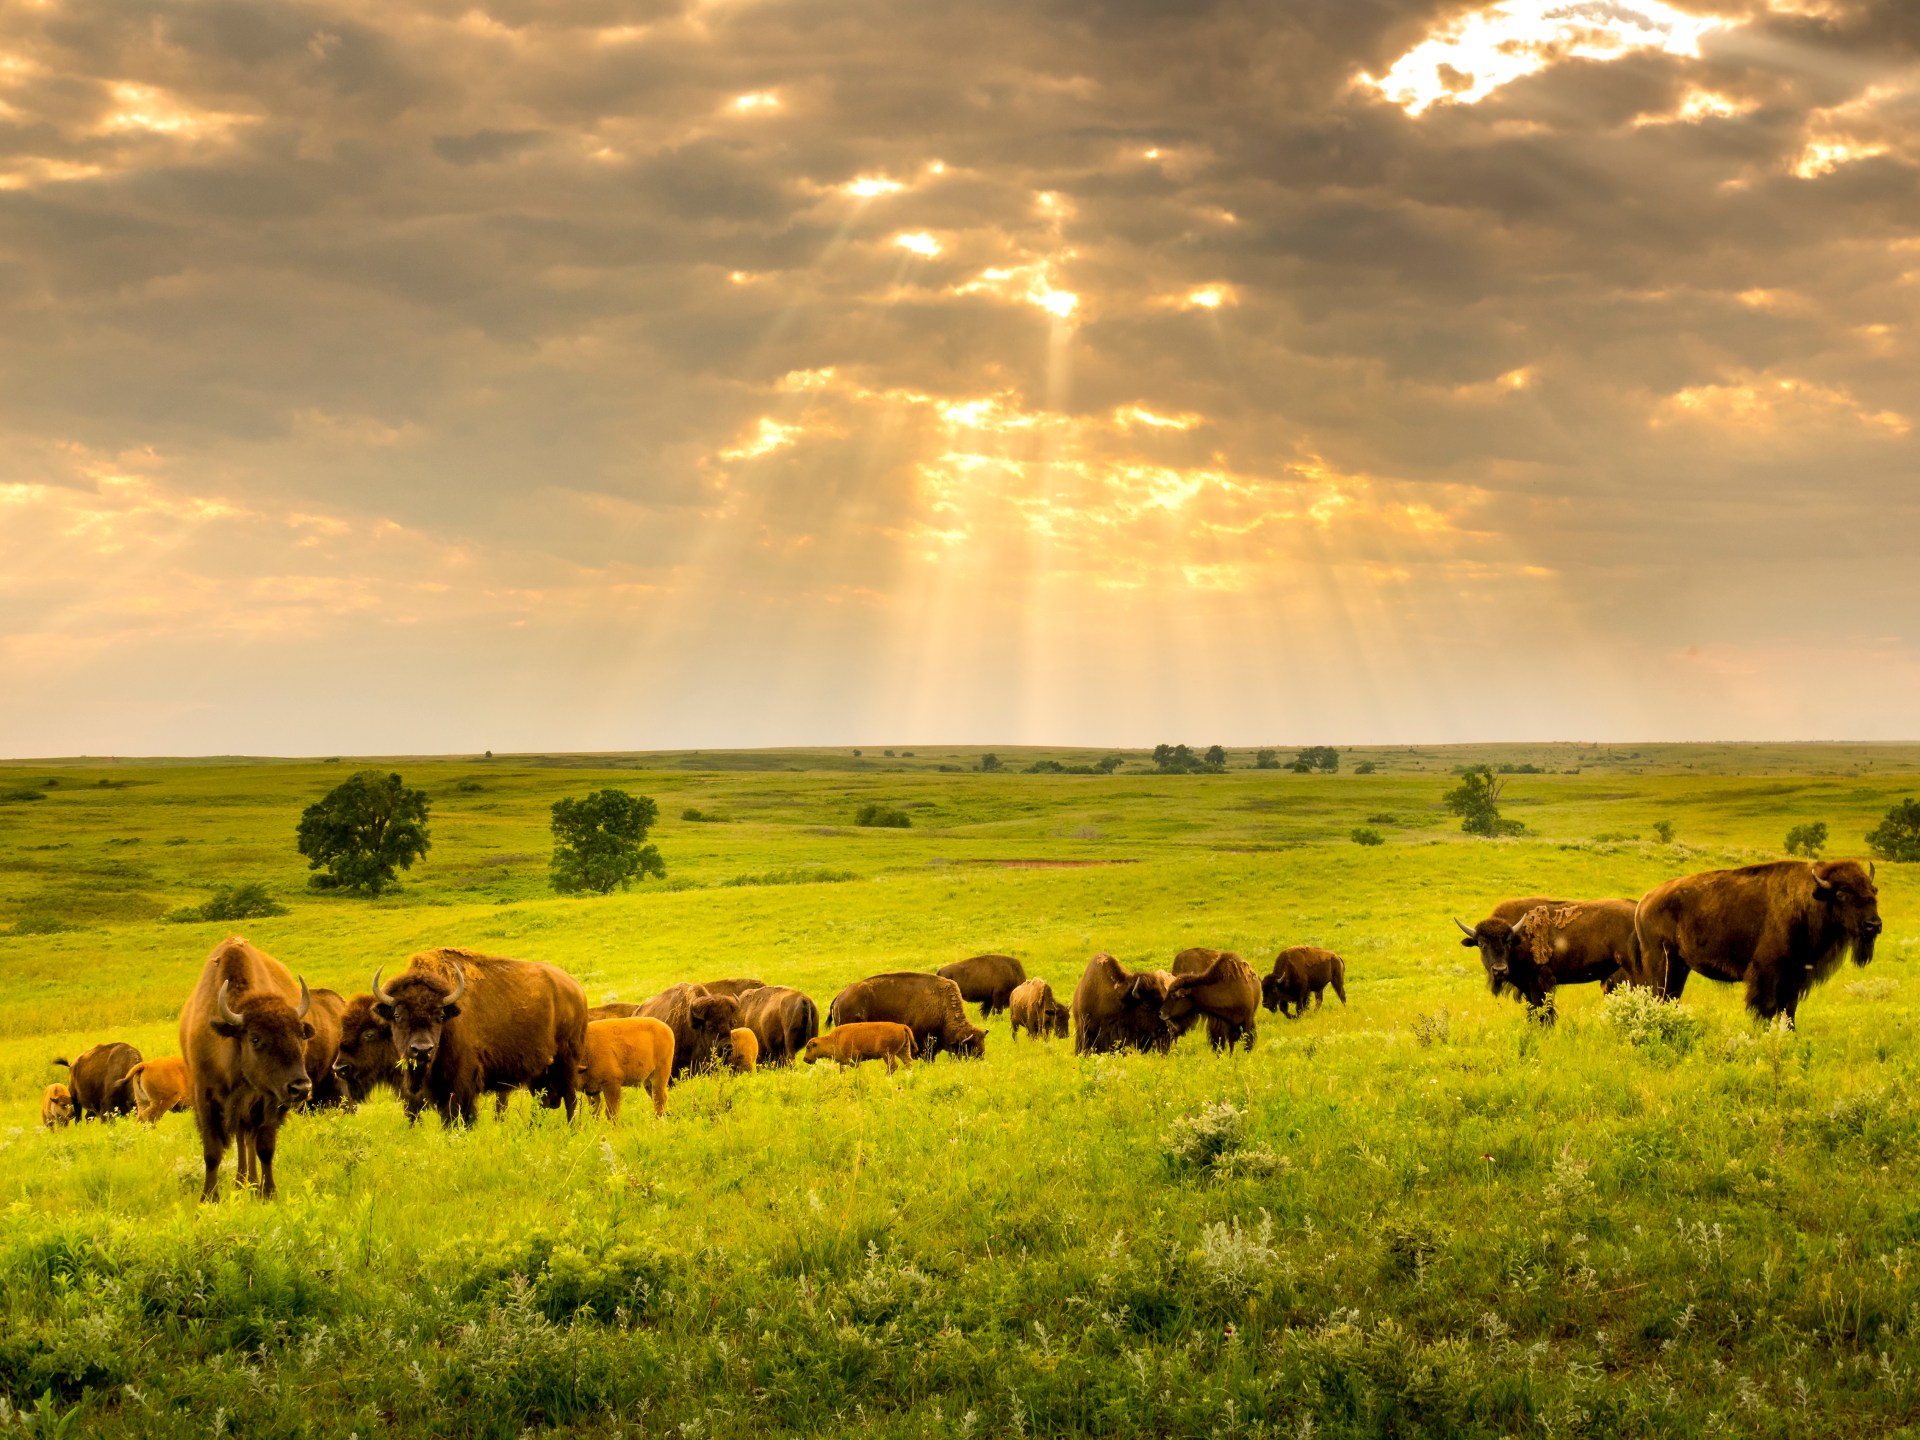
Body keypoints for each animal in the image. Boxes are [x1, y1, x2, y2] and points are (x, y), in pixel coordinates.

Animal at [181, 936, 316, 1205]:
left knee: (249, 1140)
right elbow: (212, 1152)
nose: (301, 1087)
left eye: (300, 1035)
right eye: (255, 1039)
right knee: (243, 1140)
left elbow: (265, 1148)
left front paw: (268, 1193)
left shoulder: (268, 1102)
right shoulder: (204, 1096)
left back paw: (250, 1184)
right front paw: (209, 1198)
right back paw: (241, 1182)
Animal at [372, 948, 583, 1128]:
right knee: (543, 1101)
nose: (422, 1050)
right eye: (397, 1015)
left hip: (567, 1060)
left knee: (570, 1098)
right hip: (539, 1070)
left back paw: (572, 1131)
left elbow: (459, 1118)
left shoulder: (459, 1086)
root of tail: (576, 989)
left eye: (439, 1015)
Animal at [1628, 856, 1881, 1029]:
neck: (1810, 900)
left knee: (1671, 996)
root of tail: (1644, 902)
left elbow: (1788, 1010)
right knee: (1659, 995)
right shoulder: (1767, 973)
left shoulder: (1795, 977)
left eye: (1873, 891)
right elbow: (1767, 1008)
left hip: (1680, 967)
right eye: (1841, 894)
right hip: (1662, 963)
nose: (1874, 924)